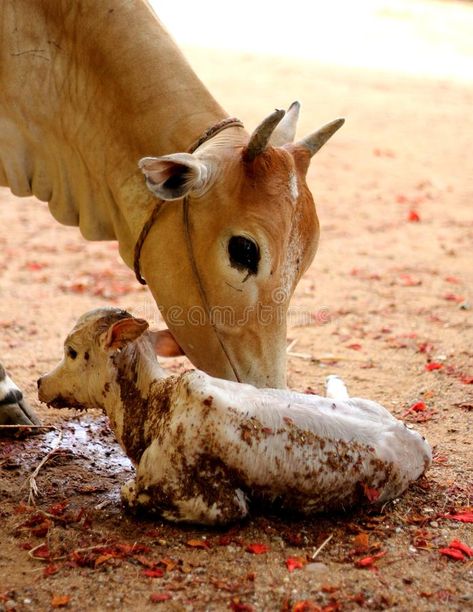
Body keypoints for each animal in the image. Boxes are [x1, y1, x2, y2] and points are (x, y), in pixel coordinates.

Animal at [37, 306, 432, 524]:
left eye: (72, 351)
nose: (40, 382)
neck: (154, 406)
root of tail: (418, 443)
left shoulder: (215, 502)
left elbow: (128, 493)